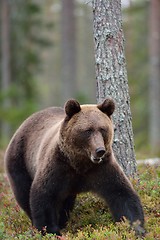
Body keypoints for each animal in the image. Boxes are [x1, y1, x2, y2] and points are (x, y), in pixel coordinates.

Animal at [4, 98, 144, 236]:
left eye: (102, 129)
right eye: (88, 130)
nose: (100, 150)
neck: (80, 163)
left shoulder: (102, 169)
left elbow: (122, 194)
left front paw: (136, 228)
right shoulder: (58, 167)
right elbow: (44, 196)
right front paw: (50, 230)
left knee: (66, 203)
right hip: (19, 160)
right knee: (23, 193)